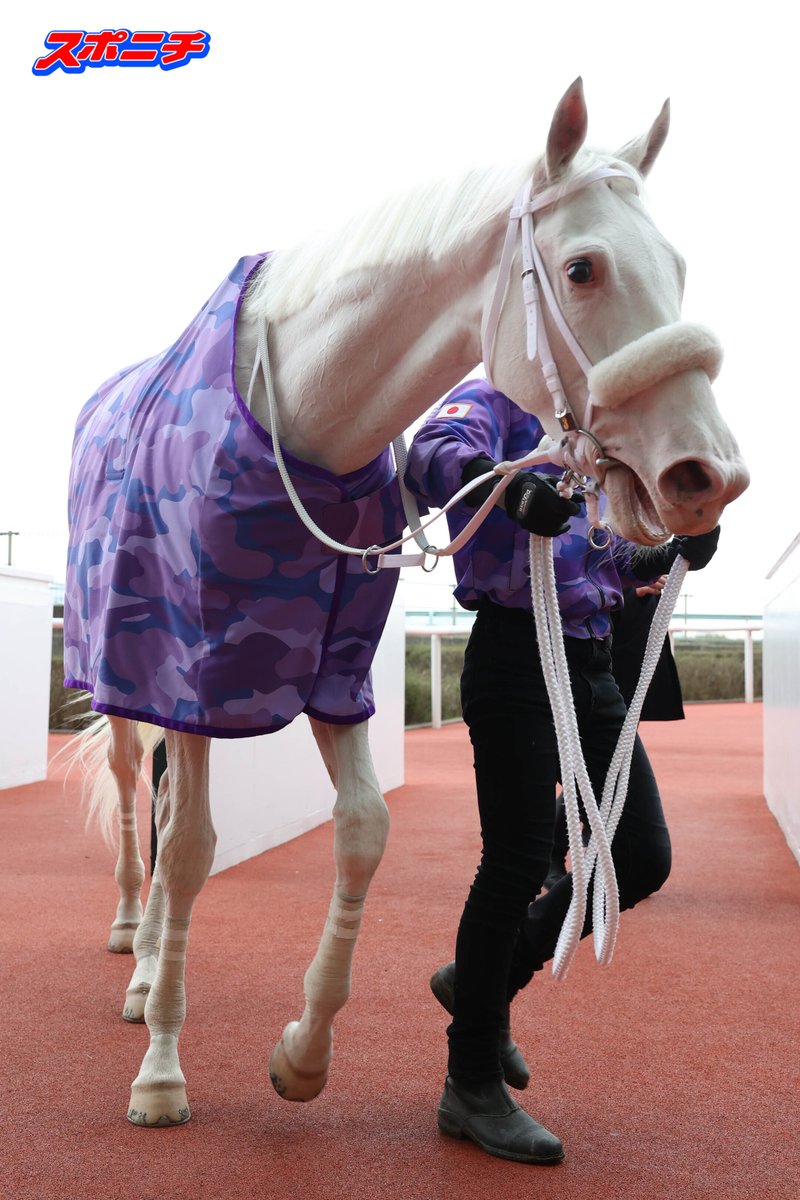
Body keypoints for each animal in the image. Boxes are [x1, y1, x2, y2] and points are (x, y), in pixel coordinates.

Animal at [63, 78, 748, 1127]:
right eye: (583, 268)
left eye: (675, 265)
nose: (707, 475)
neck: (305, 418)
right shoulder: (193, 677)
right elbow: (190, 850)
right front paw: (163, 1075)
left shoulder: (336, 676)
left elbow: (364, 831)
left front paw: (304, 1053)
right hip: (128, 681)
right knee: (145, 804)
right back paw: (138, 957)